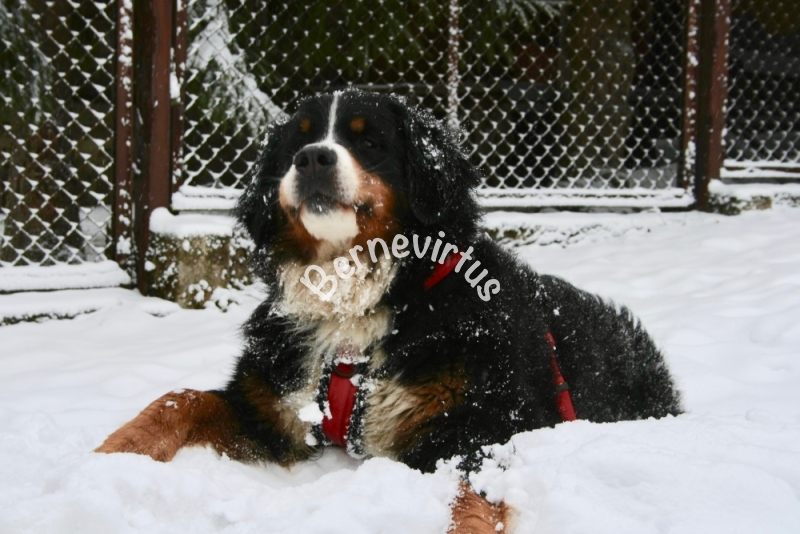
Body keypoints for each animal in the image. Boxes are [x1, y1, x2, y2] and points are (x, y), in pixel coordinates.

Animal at [97, 90, 682, 533]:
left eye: (369, 139)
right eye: (297, 142)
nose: (313, 157)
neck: (353, 304)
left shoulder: (482, 425)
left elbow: (470, 500)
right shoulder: (272, 406)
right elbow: (178, 399)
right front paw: (111, 455)